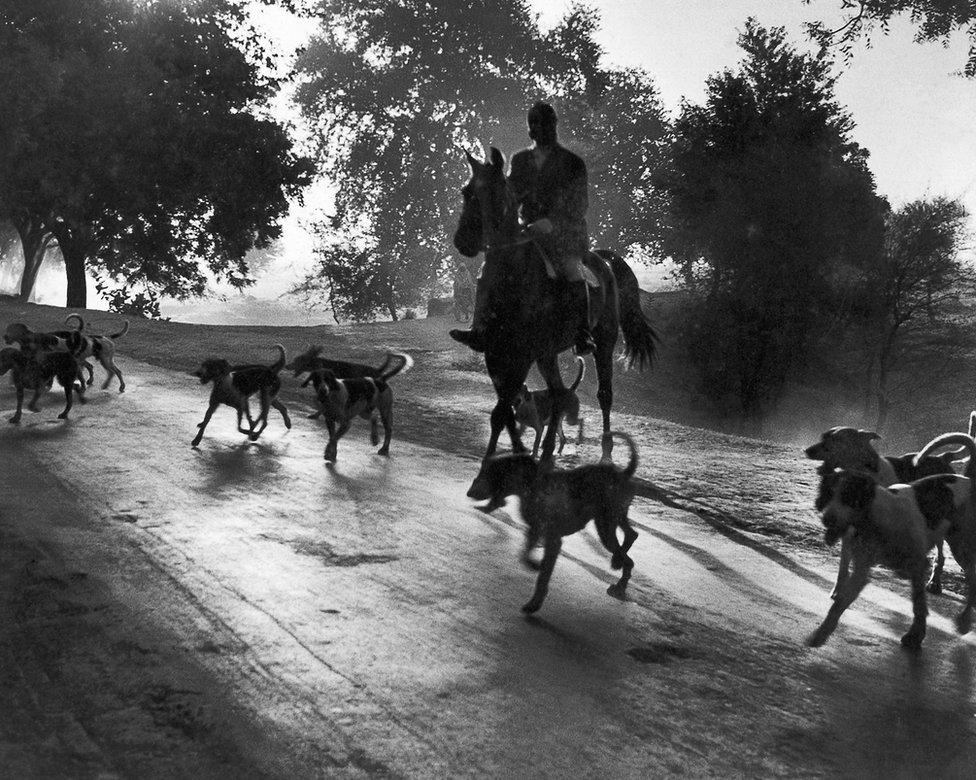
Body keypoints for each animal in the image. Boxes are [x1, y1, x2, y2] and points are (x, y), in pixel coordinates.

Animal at [456, 146, 656, 460]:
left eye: (496, 193)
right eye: (467, 192)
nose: (463, 242)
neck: (513, 273)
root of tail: (600, 259)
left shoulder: (523, 354)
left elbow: (504, 410)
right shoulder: (494, 353)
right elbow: (502, 411)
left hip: (603, 343)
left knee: (603, 395)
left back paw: (606, 452)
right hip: (547, 354)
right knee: (559, 394)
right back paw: (549, 450)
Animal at [800, 424, 960, 596]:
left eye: (836, 439)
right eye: (823, 437)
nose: (808, 450)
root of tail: (943, 457)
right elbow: (844, 566)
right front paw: (838, 589)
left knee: (940, 556)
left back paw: (934, 582)